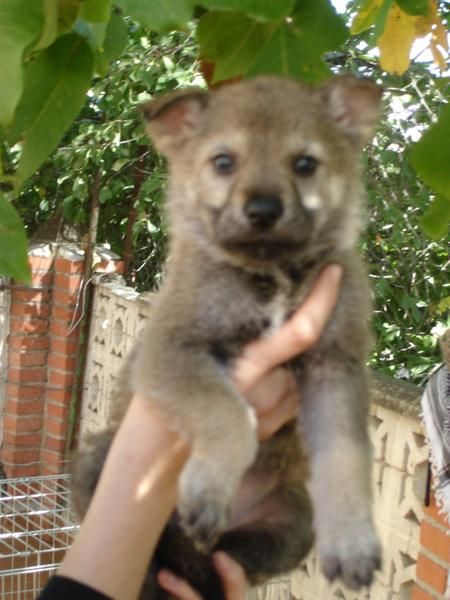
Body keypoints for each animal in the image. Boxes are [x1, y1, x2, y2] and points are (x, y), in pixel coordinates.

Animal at [72, 77, 382, 596]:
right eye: (223, 162)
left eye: (305, 163)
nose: (263, 210)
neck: (269, 275)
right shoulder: (172, 351)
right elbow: (227, 413)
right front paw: (210, 485)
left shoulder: (335, 365)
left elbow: (345, 455)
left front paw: (352, 541)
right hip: (100, 460)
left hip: (292, 521)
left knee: (220, 560)